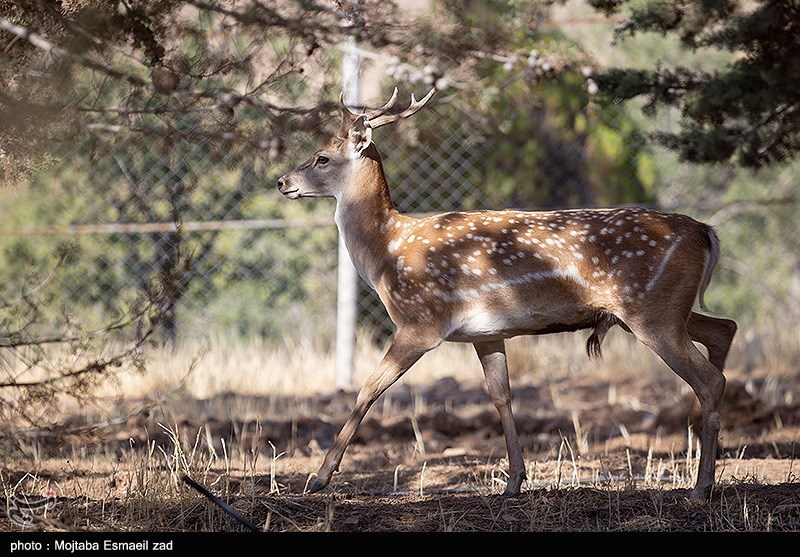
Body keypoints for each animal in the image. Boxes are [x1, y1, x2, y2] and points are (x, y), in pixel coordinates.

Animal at [276, 88, 736, 504]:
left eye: (321, 157)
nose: (282, 182)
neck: (387, 252)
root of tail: (706, 232)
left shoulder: (420, 321)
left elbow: (368, 389)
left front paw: (319, 477)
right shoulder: (485, 333)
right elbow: (501, 397)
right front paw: (515, 481)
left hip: (651, 310)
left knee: (711, 378)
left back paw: (701, 488)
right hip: (660, 309)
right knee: (724, 329)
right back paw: (710, 463)